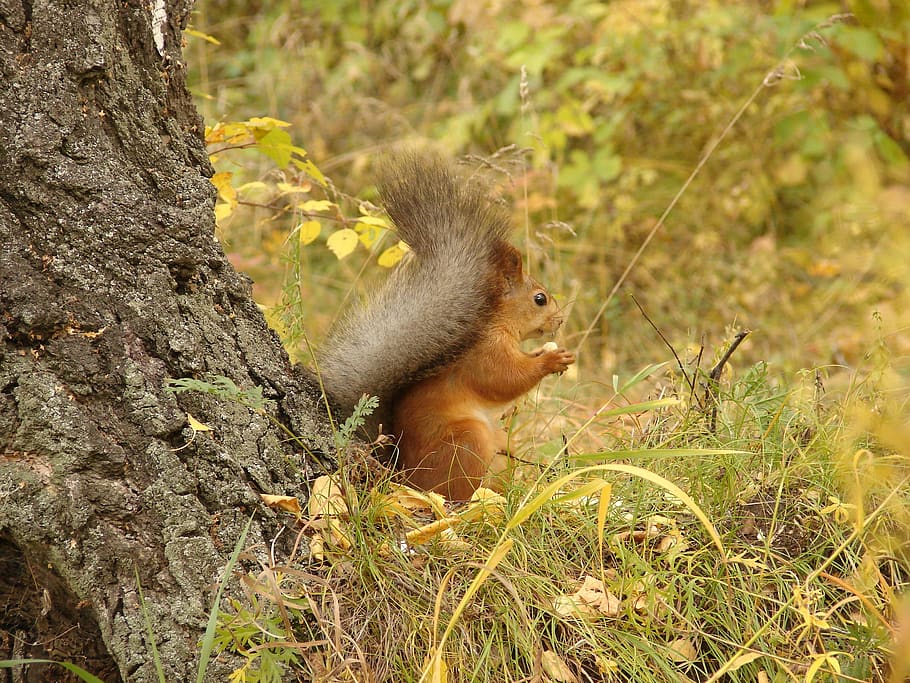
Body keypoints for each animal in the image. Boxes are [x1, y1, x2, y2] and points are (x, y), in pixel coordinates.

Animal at [320, 152, 576, 500]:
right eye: (540, 299)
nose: (560, 320)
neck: (496, 324)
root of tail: (404, 476)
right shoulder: (486, 354)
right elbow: (505, 380)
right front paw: (551, 360)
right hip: (467, 441)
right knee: (456, 490)